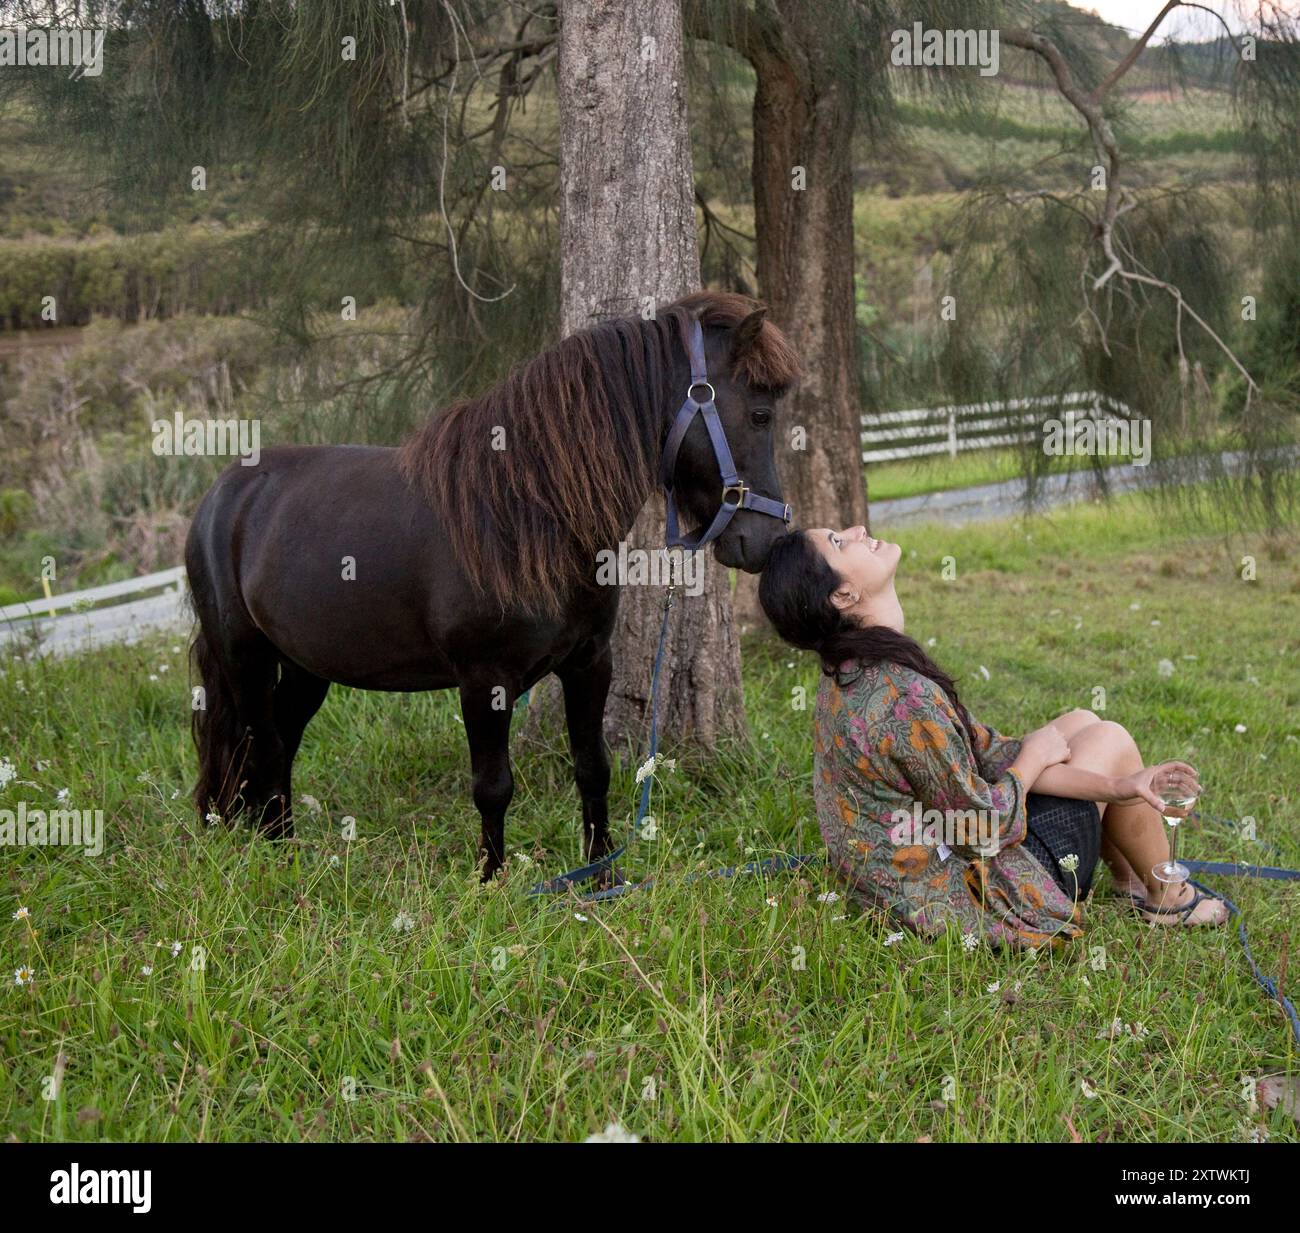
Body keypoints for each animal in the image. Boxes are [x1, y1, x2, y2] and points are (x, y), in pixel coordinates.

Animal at [187, 292, 795, 874]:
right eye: (760, 414)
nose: (766, 539)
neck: (526, 512)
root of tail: (222, 494)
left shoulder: (589, 662)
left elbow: (592, 768)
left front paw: (602, 874)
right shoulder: (484, 679)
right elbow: (493, 787)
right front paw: (490, 880)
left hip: (307, 666)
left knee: (281, 743)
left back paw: (284, 847)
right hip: (245, 658)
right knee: (262, 744)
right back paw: (276, 855)